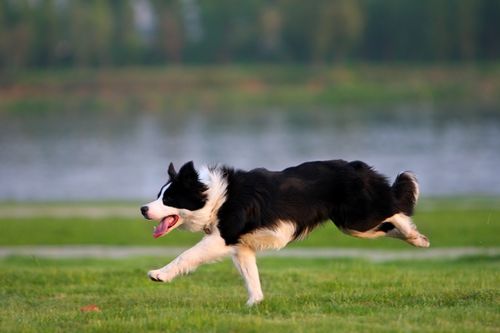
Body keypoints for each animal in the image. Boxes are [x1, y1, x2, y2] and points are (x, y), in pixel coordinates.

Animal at [141, 160, 430, 304]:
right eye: (158, 195)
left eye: (169, 199)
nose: (143, 209)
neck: (215, 197)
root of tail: (356, 165)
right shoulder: (242, 246)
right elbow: (251, 277)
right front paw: (255, 304)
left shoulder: (222, 237)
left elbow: (186, 255)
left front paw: (159, 274)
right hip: (354, 226)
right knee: (389, 223)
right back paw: (417, 239)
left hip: (358, 218)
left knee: (395, 208)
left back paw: (415, 235)